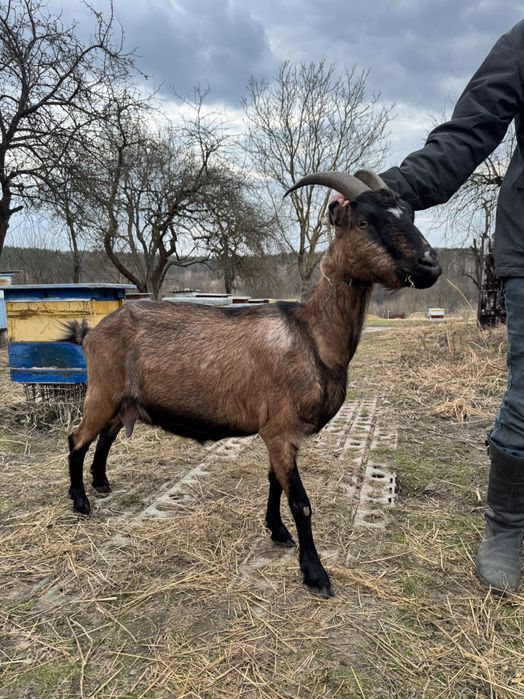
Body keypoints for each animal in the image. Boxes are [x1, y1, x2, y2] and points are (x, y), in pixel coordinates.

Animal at [63, 170, 440, 597]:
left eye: (409, 213)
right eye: (363, 222)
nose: (430, 264)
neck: (312, 335)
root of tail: (92, 333)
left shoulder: (278, 432)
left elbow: (274, 481)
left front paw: (276, 532)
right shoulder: (280, 429)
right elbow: (300, 502)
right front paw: (315, 574)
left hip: (122, 400)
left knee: (104, 437)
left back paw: (101, 484)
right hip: (102, 391)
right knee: (77, 439)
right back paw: (81, 503)